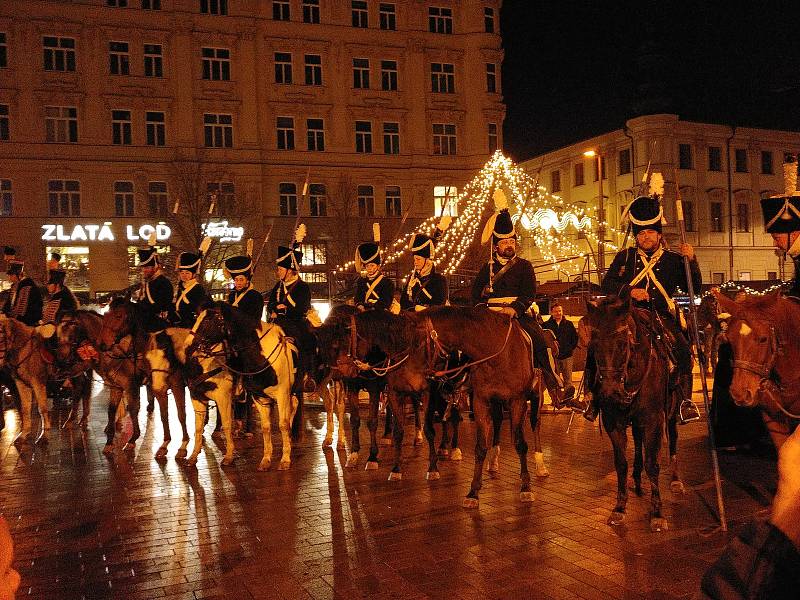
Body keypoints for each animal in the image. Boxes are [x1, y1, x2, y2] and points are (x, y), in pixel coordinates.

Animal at [190, 302, 300, 472]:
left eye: (208, 320)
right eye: (197, 317)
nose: (190, 344)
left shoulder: (281, 393)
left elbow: (282, 424)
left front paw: (285, 460)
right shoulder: (259, 396)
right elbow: (266, 427)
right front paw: (266, 460)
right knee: (294, 404)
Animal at [580, 296, 676, 528]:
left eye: (623, 344)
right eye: (594, 344)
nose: (610, 393)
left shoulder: (653, 421)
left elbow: (653, 464)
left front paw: (657, 513)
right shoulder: (614, 422)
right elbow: (621, 464)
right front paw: (619, 507)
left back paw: (676, 481)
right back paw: (637, 478)